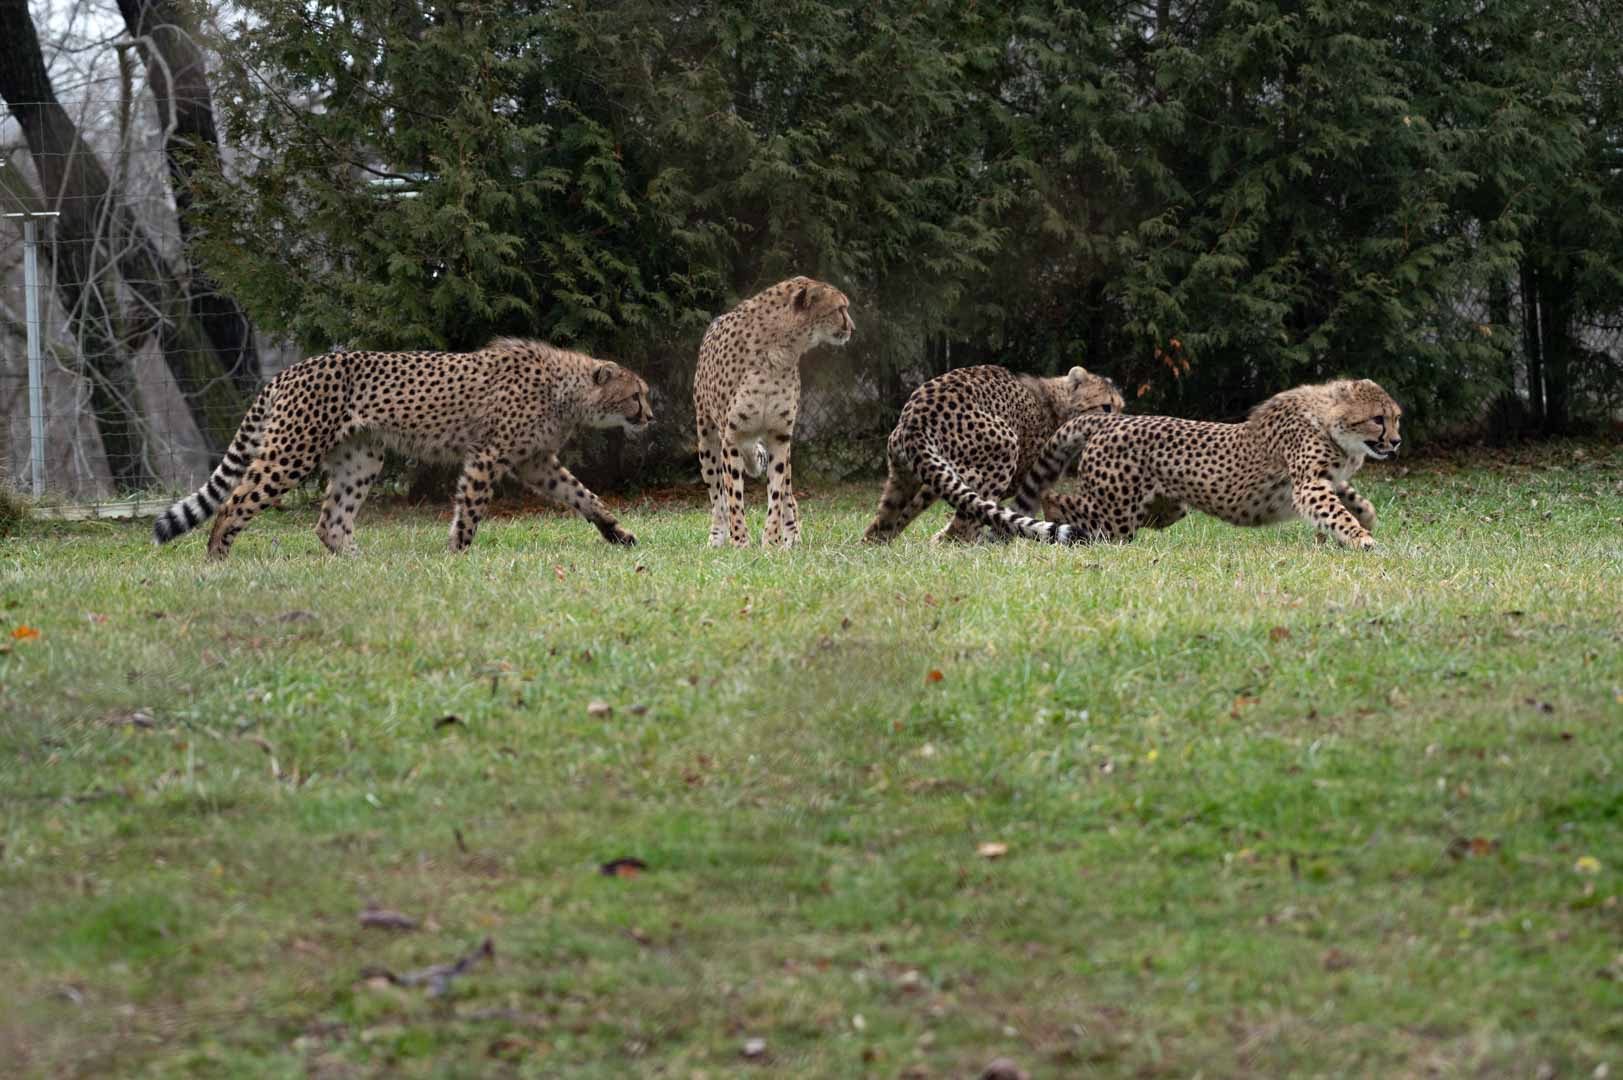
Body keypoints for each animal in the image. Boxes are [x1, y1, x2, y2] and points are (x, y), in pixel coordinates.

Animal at [152, 338, 653, 559]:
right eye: (636, 396)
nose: (650, 417)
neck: (566, 388)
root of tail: (291, 369)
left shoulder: (535, 462)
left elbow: (584, 496)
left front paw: (617, 533)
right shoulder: (488, 456)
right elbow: (471, 507)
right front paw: (458, 553)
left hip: (361, 459)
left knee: (329, 521)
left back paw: (359, 562)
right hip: (292, 453)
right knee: (234, 502)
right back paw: (217, 557)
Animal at [693, 275, 854, 548]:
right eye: (839, 309)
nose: (851, 327)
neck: (780, 351)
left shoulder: (780, 436)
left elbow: (777, 493)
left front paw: (772, 542)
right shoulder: (732, 436)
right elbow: (733, 496)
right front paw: (740, 542)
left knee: (788, 492)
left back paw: (792, 537)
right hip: (707, 440)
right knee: (717, 496)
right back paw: (717, 537)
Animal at [861, 363, 1125, 545]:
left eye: (1121, 407)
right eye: (1106, 406)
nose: (1118, 423)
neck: (1058, 404)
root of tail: (916, 417)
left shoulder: (937, 475)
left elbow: (913, 507)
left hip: (903, 472)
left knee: (886, 514)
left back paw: (873, 543)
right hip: (1004, 448)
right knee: (961, 530)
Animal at [1010, 377, 1403, 549]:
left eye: (1397, 418)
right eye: (1378, 419)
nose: (1396, 441)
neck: (1327, 418)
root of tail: (1111, 419)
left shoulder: (1323, 480)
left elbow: (1352, 500)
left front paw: (1364, 520)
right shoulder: (1308, 485)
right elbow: (1337, 512)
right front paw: (1361, 538)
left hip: (1166, 507)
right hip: (1114, 513)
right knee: (1061, 500)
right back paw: (1061, 528)